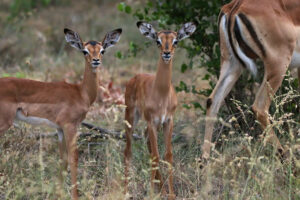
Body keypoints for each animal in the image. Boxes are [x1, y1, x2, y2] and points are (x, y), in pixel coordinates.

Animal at [0, 27, 122, 198]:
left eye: (102, 50)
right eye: (85, 51)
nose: (96, 60)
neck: (81, 92)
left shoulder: (59, 129)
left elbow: (63, 160)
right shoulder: (70, 126)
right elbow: (73, 158)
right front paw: (75, 196)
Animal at [124, 21, 197, 199]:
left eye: (175, 41)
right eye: (158, 40)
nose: (166, 53)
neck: (162, 94)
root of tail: (134, 78)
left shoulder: (167, 121)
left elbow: (168, 155)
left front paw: (171, 194)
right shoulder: (152, 121)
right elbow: (156, 156)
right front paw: (151, 193)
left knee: (147, 144)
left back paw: (161, 189)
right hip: (131, 117)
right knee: (128, 152)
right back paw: (125, 191)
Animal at [202, 0, 300, 159]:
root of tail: (235, 7)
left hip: (232, 64)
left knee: (213, 100)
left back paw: (204, 160)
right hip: (278, 64)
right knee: (259, 107)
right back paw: (284, 156)